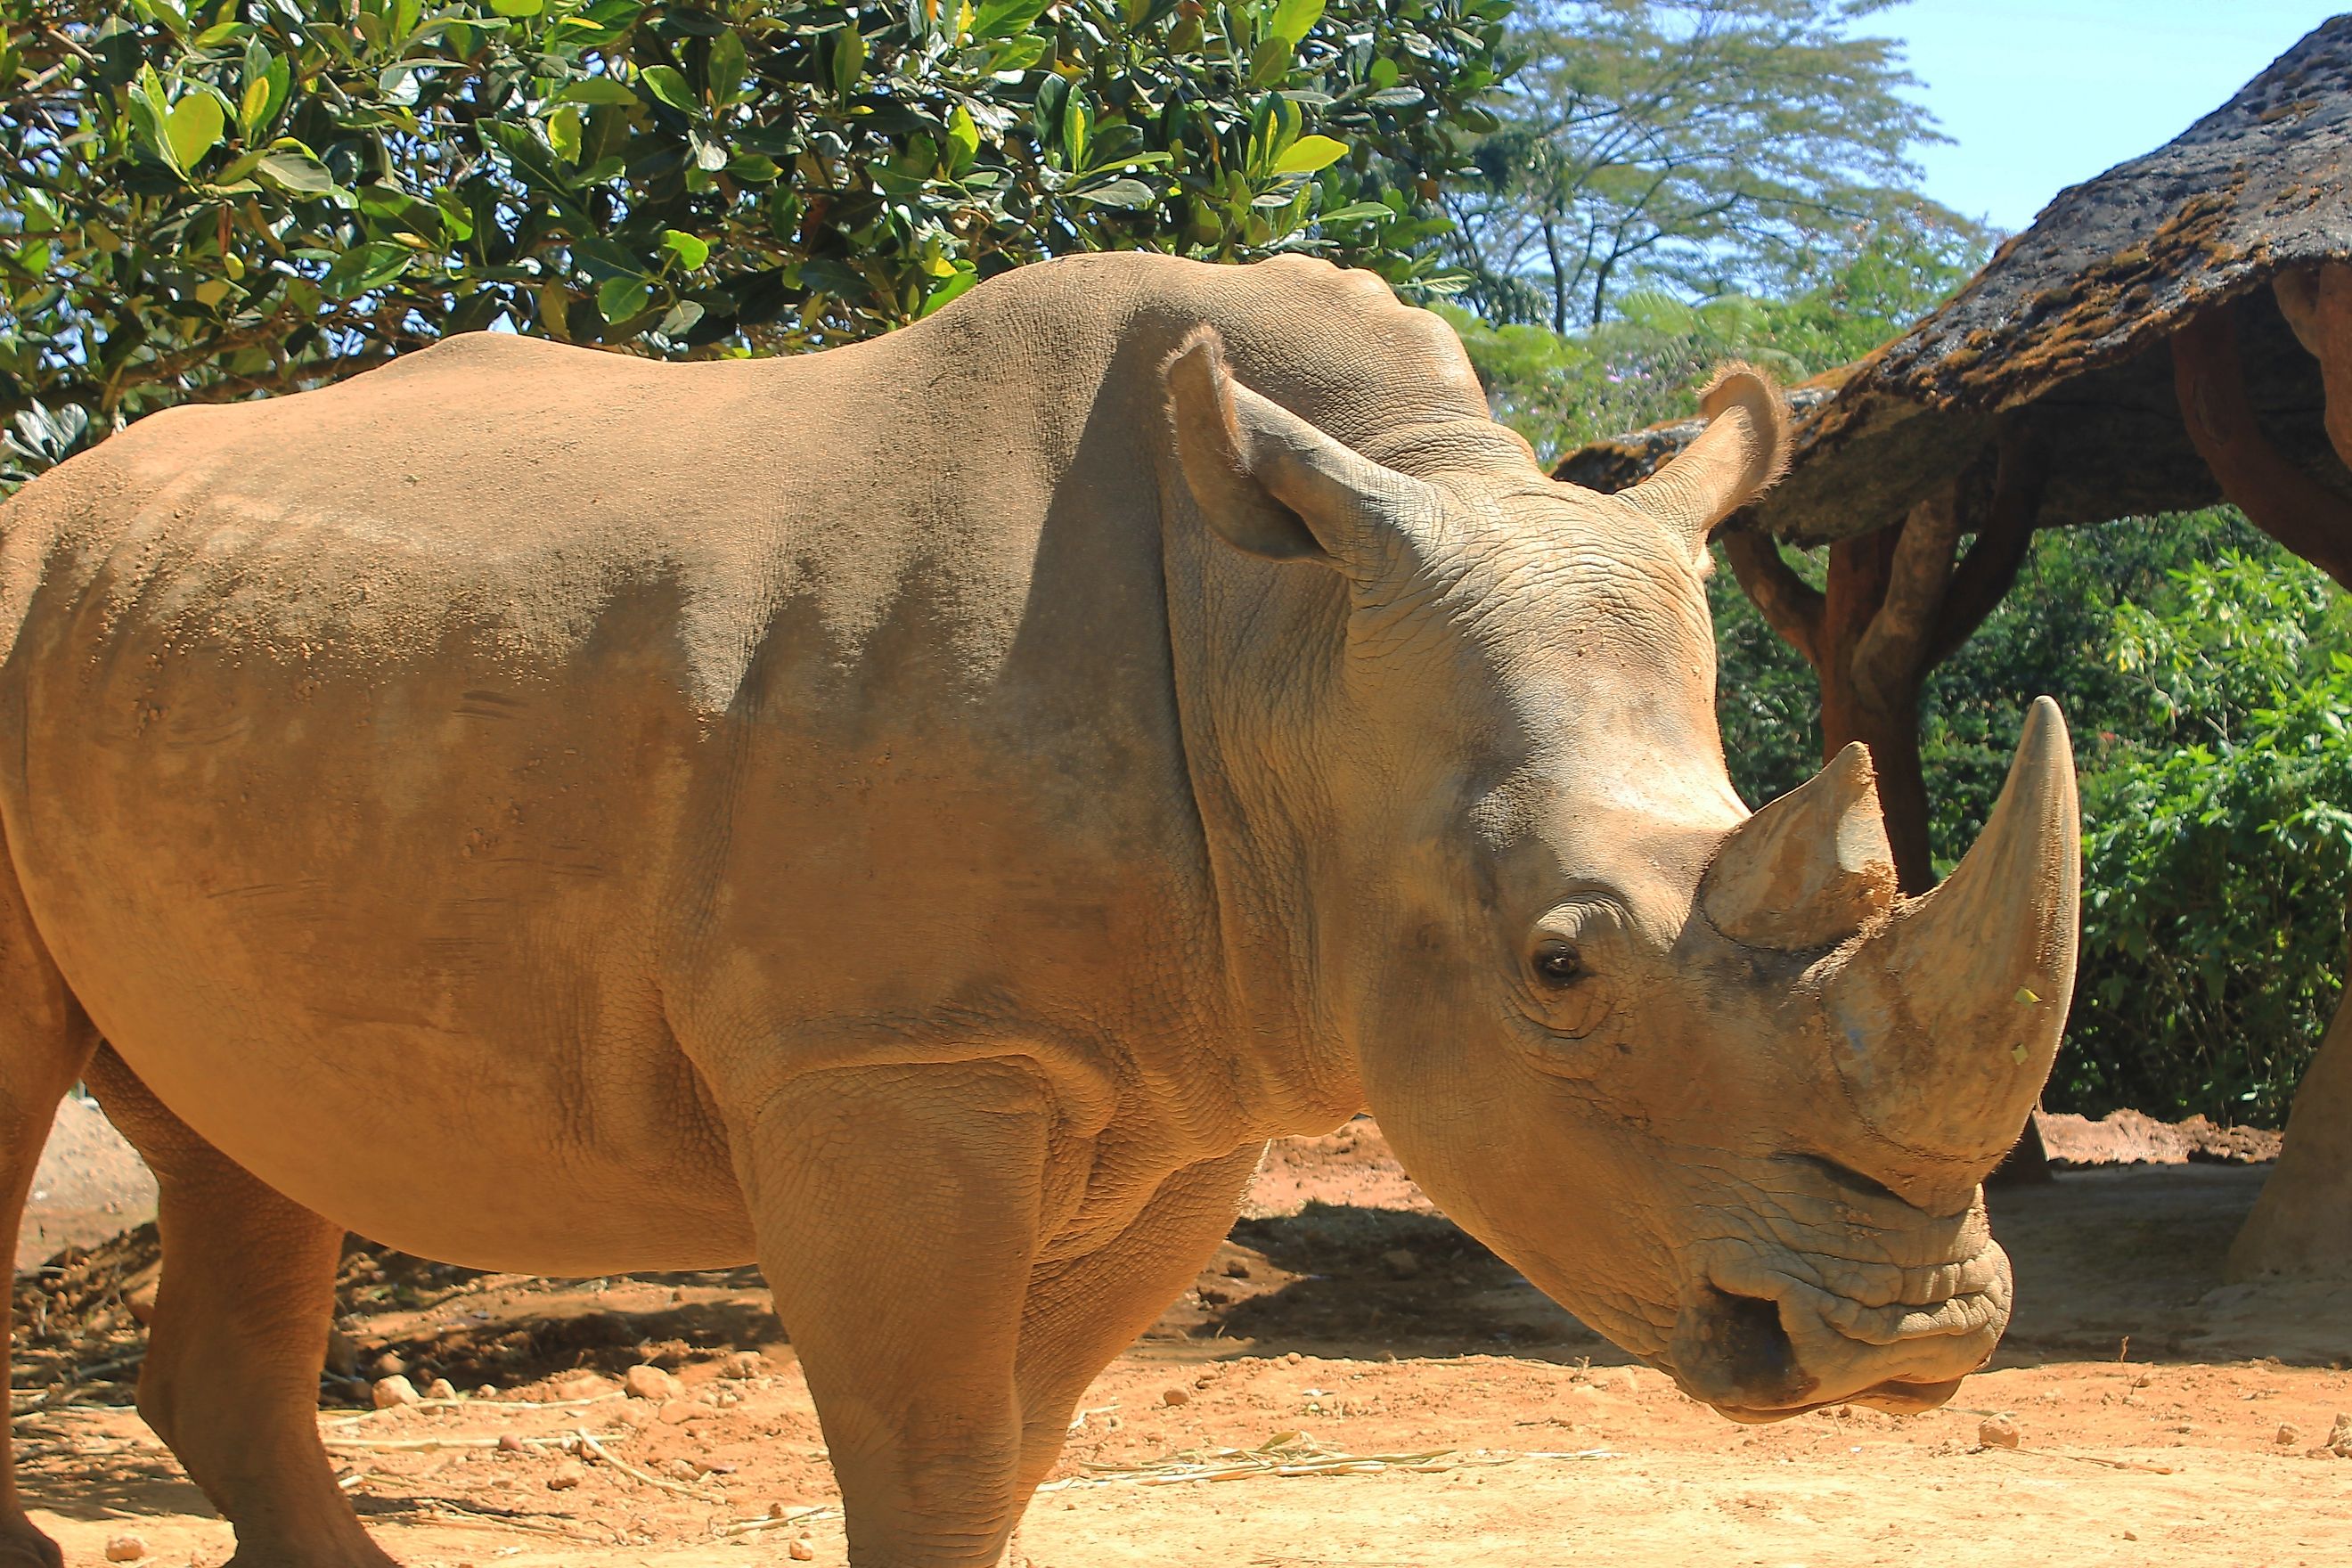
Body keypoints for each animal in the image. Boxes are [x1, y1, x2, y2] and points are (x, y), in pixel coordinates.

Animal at [0, 254, 2075, 1568]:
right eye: (1560, 966)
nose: (1915, 1336)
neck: (1286, 649)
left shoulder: (1179, 1092)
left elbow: (1018, 1450)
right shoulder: (888, 1057)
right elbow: (927, 1454)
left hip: (193, 654)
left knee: (248, 1132)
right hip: (39, 605)